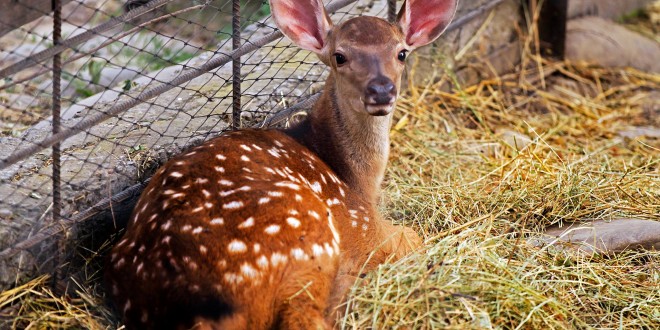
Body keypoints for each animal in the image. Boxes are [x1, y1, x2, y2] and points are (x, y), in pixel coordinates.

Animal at [107, 0, 458, 328]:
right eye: (339, 56)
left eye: (401, 53)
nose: (382, 90)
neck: (354, 177)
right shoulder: (366, 227)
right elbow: (412, 237)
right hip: (306, 236)